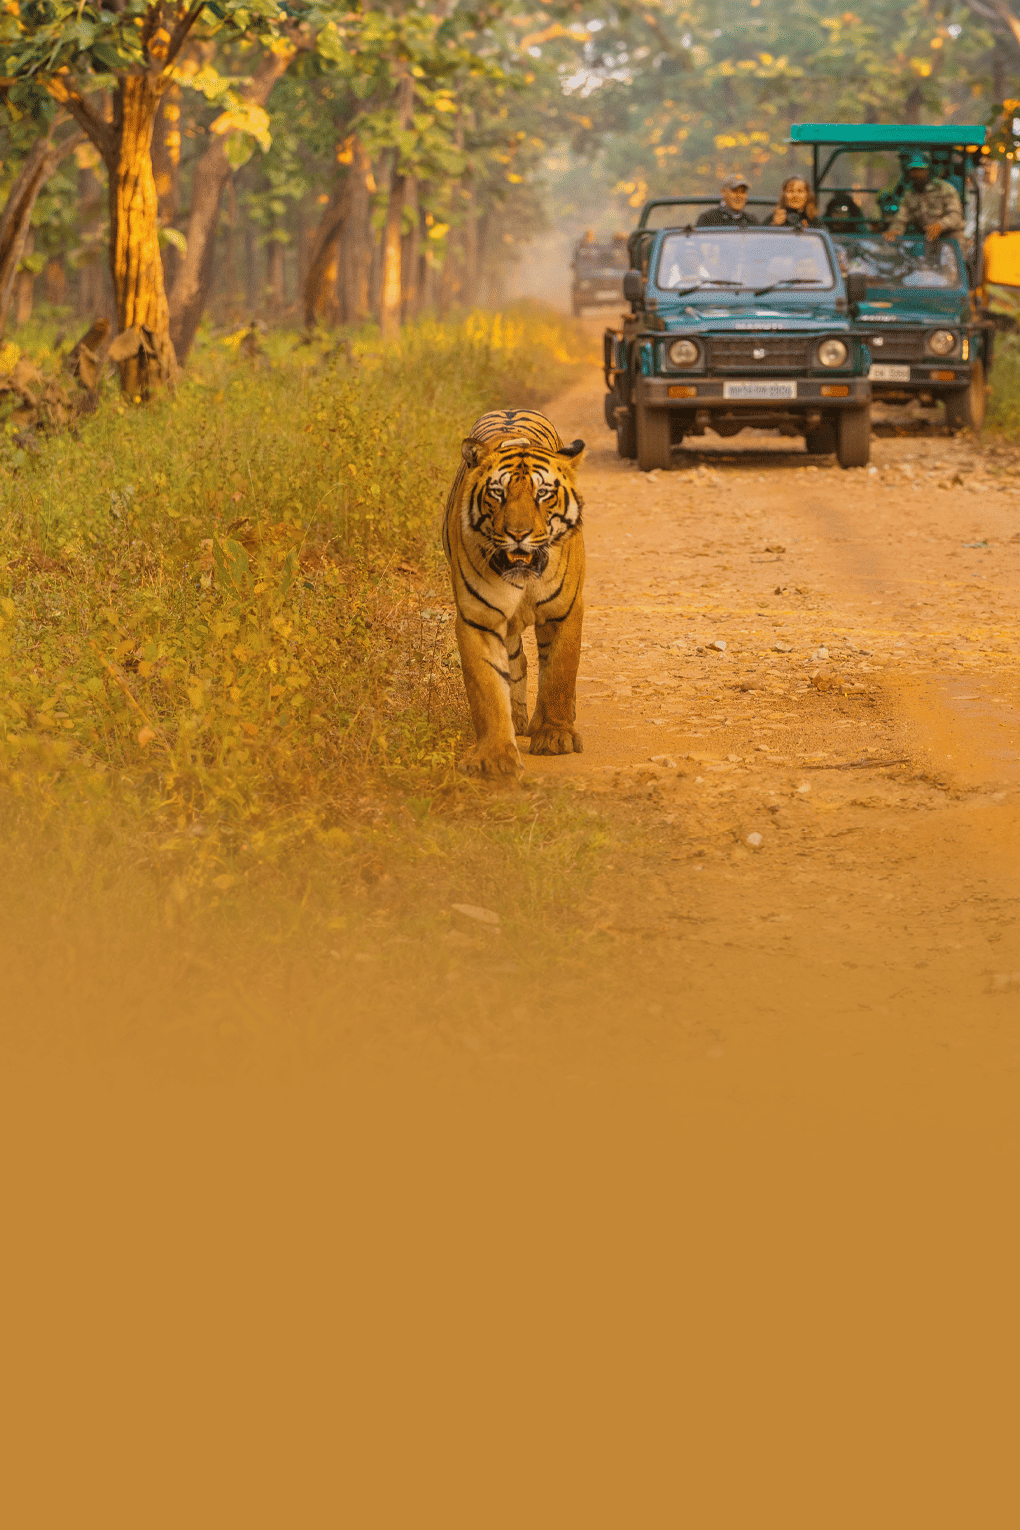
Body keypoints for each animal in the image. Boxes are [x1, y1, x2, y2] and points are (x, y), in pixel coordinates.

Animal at [442, 408, 586, 779]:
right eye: (498, 493)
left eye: (543, 494)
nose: (518, 534)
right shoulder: (479, 619)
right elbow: (488, 689)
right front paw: (494, 756)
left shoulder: (564, 611)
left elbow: (560, 672)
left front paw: (556, 736)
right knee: (517, 660)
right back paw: (519, 718)